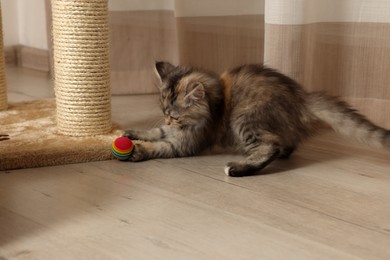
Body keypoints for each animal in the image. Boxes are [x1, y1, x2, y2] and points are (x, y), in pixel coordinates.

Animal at [122, 61, 390, 177]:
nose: (168, 121)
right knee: (284, 144)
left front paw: (138, 151)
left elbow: (160, 146)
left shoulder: (185, 142)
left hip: (244, 118)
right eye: (163, 113)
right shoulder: (172, 132)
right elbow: (154, 133)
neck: (215, 102)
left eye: (174, 116)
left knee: (269, 147)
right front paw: (130, 133)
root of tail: (301, 99)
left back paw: (238, 168)